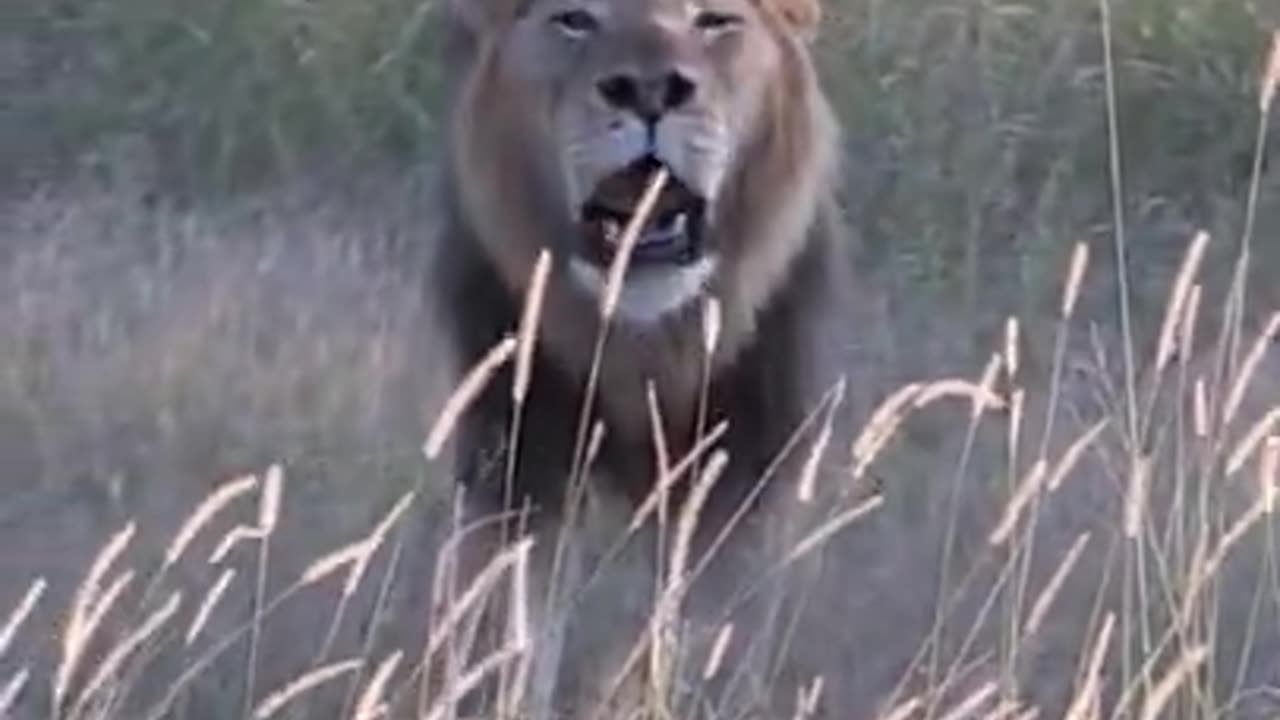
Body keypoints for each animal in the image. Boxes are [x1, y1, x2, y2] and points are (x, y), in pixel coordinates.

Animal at [430, 0, 860, 712]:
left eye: (714, 21)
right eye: (575, 20)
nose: (651, 91)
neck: (646, 350)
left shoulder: (741, 476)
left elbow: (700, 635)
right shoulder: (517, 456)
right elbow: (508, 633)